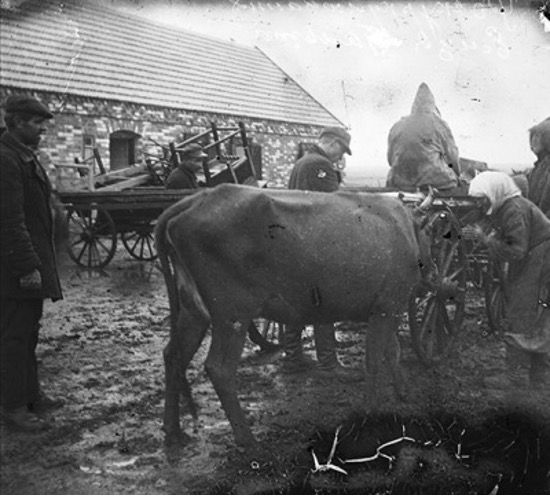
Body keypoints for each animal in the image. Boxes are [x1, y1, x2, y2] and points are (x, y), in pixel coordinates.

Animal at [155, 184, 436, 448]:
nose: (432, 277)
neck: (406, 229)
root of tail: (200, 197)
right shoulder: (386, 306)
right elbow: (375, 360)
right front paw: (371, 410)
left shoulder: (389, 308)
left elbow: (393, 351)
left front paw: (403, 392)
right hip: (232, 313)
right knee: (219, 368)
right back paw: (248, 439)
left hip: (194, 310)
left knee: (173, 355)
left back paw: (173, 430)